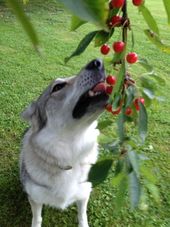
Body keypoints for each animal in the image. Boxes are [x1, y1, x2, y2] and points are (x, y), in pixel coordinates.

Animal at [19, 59, 108, 226]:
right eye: (58, 87)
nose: (98, 62)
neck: (71, 157)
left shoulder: (84, 193)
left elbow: (82, 216)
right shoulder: (35, 198)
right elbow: (37, 218)